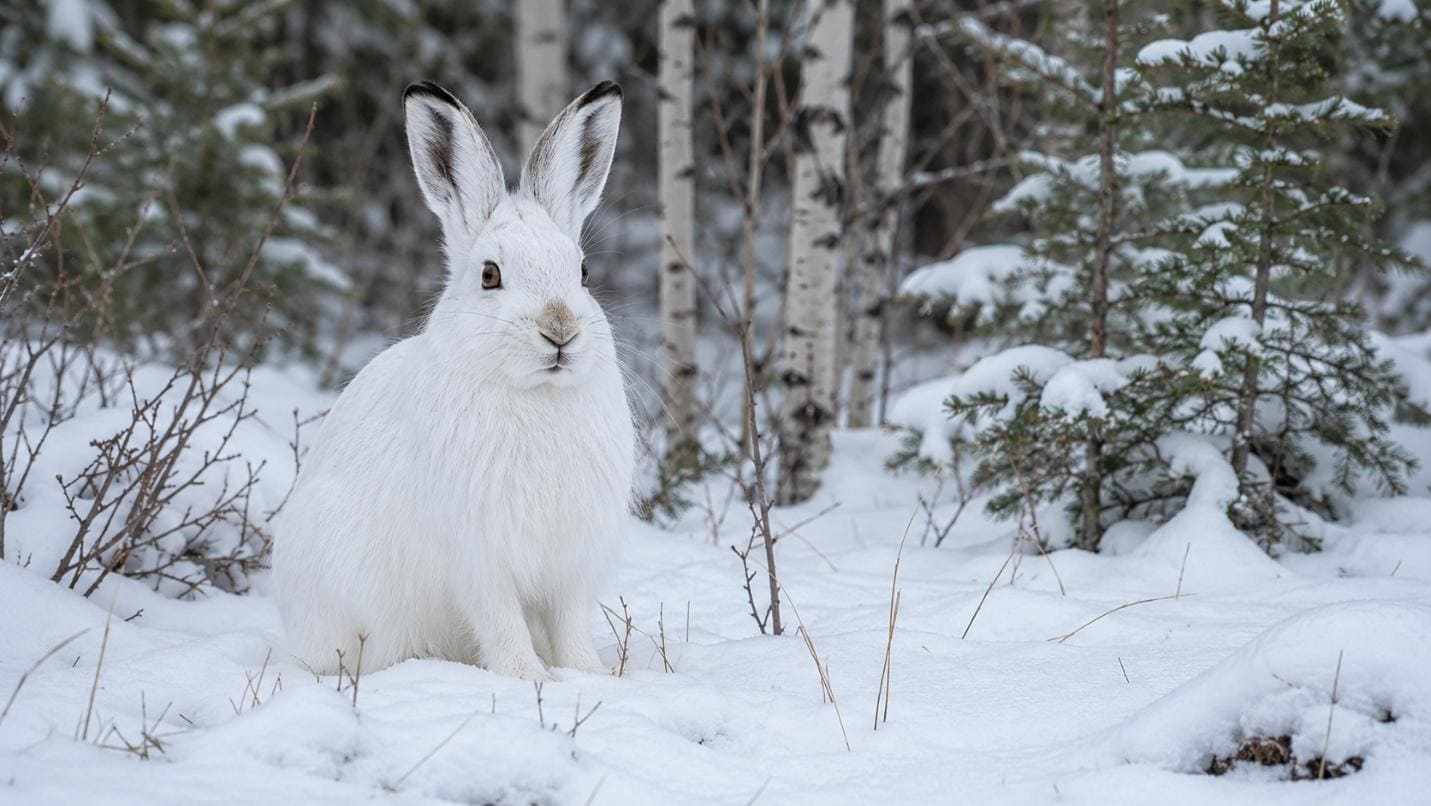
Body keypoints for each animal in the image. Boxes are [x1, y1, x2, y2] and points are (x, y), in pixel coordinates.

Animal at [272, 80, 635, 681]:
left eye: (582, 273)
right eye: (489, 275)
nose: (559, 331)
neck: (535, 394)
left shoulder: (570, 561)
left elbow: (570, 624)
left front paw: (589, 677)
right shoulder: (479, 556)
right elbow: (502, 620)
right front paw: (527, 678)